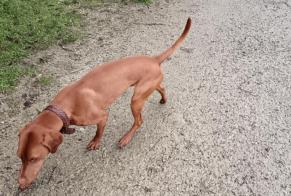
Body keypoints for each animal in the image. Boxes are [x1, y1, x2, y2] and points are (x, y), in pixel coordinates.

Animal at [17, 18, 193, 190]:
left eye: (34, 159)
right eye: (20, 157)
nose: (21, 184)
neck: (65, 105)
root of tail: (153, 59)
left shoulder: (102, 116)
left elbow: (98, 132)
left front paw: (95, 142)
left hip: (136, 100)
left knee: (139, 121)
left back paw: (126, 138)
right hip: (147, 87)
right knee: (161, 88)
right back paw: (163, 99)